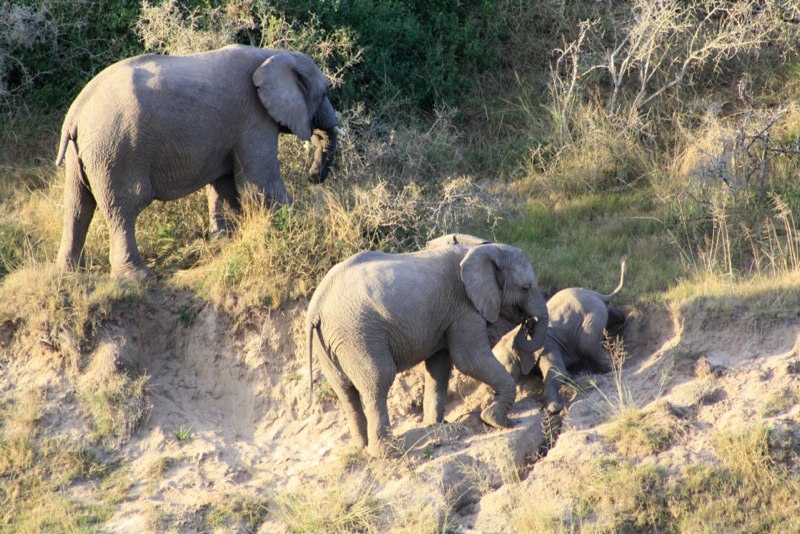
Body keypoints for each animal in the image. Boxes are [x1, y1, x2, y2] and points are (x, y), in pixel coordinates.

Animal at [55, 44, 338, 279]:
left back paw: (68, 275)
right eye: (325, 93)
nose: (313, 176)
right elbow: (258, 182)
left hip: (85, 153)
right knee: (123, 207)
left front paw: (225, 241)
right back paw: (139, 278)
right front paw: (302, 224)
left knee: (78, 206)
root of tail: (76, 113)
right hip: (116, 149)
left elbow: (223, 185)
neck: (272, 54)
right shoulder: (254, 117)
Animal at [306, 242, 549, 458]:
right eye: (525, 288)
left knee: (345, 390)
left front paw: (437, 425)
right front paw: (497, 420)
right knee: (378, 380)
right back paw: (389, 452)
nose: (528, 324)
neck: (485, 249)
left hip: (330, 343)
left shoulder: (447, 312)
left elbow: (439, 364)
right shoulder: (464, 306)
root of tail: (317, 305)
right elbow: (469, 359)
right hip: (358, 334)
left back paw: (361, 447)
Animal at [494, 258, 627, 413]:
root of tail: (598, 295)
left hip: (592, 316)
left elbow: (557, 370)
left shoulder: (548, 345)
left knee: (587, 345)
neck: (511, 336)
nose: (528, 321)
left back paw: (611, 369)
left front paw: (553, 408)